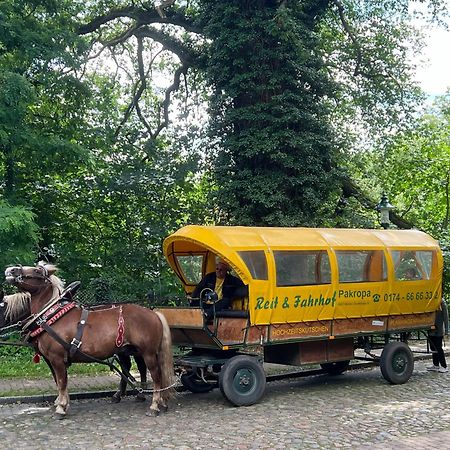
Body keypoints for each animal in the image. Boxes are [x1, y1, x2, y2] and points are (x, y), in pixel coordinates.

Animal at [4, 262, 174, 416]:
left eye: (37, 271)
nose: (11, 270)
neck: (52, 316)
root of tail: (153, 313)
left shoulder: (56, 358)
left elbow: (61, 381)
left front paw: (61, 407)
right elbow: (61, 381)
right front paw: (62, 402)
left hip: (148, 353)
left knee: (157, 376)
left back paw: (154, 405)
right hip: (130, 350)